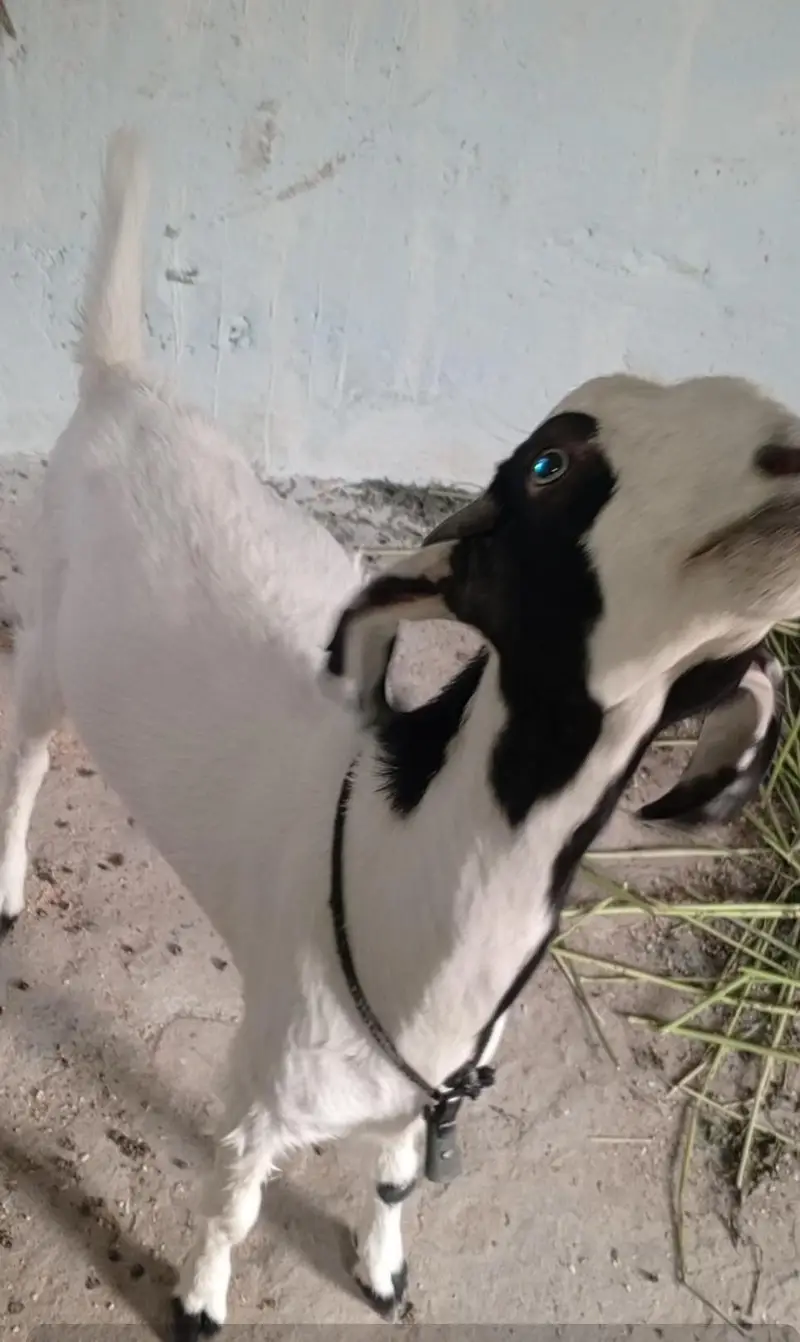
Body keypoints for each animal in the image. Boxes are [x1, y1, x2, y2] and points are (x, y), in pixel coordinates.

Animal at [0, 128, 797, 1339]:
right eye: (547, 464)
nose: (781, 446)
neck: (398, 871)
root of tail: (123, 385)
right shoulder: (265, 1080)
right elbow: (234, 1202)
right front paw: (199, 1303)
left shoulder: (424, 1100)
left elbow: (393, 1179)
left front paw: (382, 1273)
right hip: (47, 629)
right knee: (25, 752)